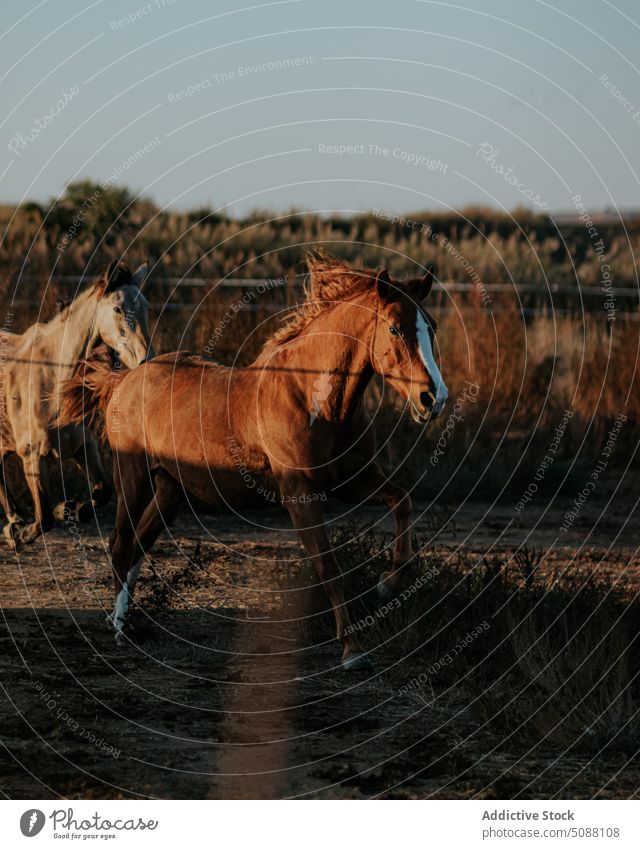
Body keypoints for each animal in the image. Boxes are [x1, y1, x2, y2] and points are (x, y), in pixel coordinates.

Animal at [62, 252, 448, 668]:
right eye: (394, 328)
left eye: (432, 326)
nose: (433, 398)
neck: (312, 397)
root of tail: (125, 380)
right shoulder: (300, 494)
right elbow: (328, 567)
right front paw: (352, 650)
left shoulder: (351, 479)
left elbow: (402, 501)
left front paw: (388, 584)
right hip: (132, 478)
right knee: (120, 544)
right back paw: (119, 630)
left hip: (171, 489)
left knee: (138, 545)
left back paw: (129, 622)